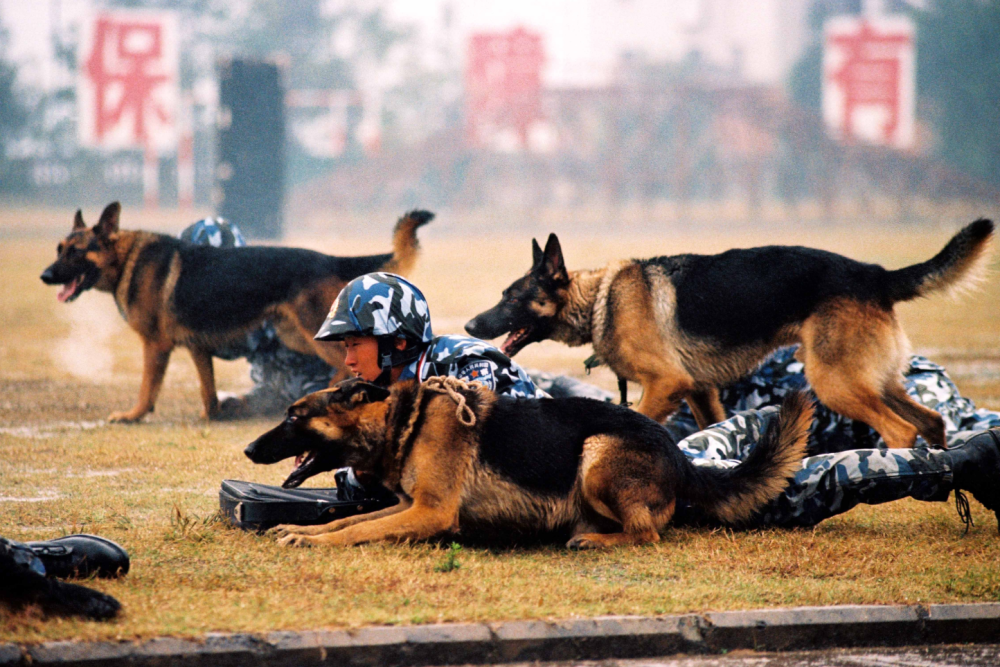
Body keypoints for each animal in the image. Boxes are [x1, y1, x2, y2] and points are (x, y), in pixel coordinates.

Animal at [41, 204, 432, 422]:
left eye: (76, 252)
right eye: (59, 249)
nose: (44, 276)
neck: (124, 259)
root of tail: (330, 259)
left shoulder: (155, 346)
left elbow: (147, 388)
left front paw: (132, 416)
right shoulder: (197, 348)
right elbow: (208, 391)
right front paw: (211, 415)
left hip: (315, 335)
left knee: (343, 368)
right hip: (295, 335)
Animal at [244, 378, 812, 552]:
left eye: (293, 415)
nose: (248, 450)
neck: (404, 420)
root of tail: (677, 453)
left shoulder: (429, 513)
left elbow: (354, 530)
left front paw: (311, 539)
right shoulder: (408, 507)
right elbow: (350, 520)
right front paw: (301, 529)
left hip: (595, 455)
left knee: (647, 534)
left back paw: (596, 541)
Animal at [462, 223, 992, 448]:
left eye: (511, 297)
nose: (468, 327)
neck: (598, 299)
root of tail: (877, 274)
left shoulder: (666, 385)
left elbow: (640, 422)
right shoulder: (699, 392)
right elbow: (709, 430)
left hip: (835, 382)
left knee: (901, 430)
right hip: (876, 380)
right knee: (931, 422)